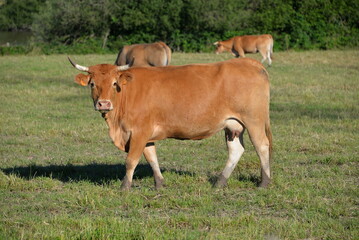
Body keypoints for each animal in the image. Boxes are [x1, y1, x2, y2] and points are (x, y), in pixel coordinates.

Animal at [69, 57, 274, 190]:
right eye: (92, 84)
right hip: (233, 125)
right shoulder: (146, 134)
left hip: (254, 120)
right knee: (236, 150)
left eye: (113, 83)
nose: (104, 104)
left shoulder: (139, 132)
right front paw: (159, 184)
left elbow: (131, 160)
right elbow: (151, 157)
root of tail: (249, 62)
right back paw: (220, 182)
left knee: (262, 145)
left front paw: (124, 186)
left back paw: (264, 182)